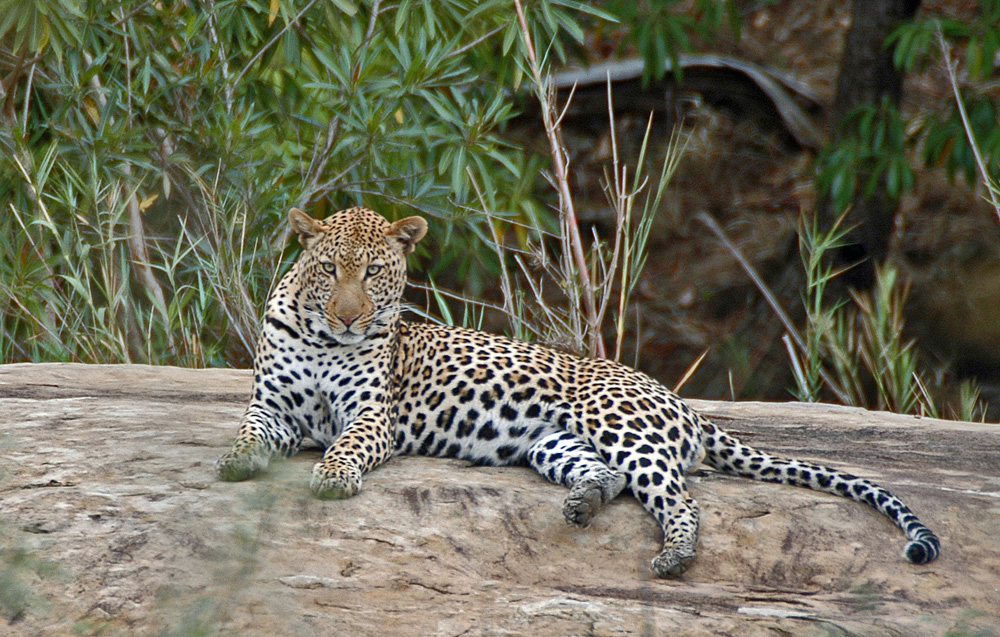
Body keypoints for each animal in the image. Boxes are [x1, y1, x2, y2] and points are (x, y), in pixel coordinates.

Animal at [215, 206, 940, 580]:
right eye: (329, 268)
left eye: (374, 273)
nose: (348, 317)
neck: (321, 339)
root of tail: (682, 402)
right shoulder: (271, 406)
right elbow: (250, 430)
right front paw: (235, 460)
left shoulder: (372, 415)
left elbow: (348, 443)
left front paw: (334, 474)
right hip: (553, 441)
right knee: (609, 478)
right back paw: (583, 503)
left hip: (619, 422)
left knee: (679, 497)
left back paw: (673, 554)